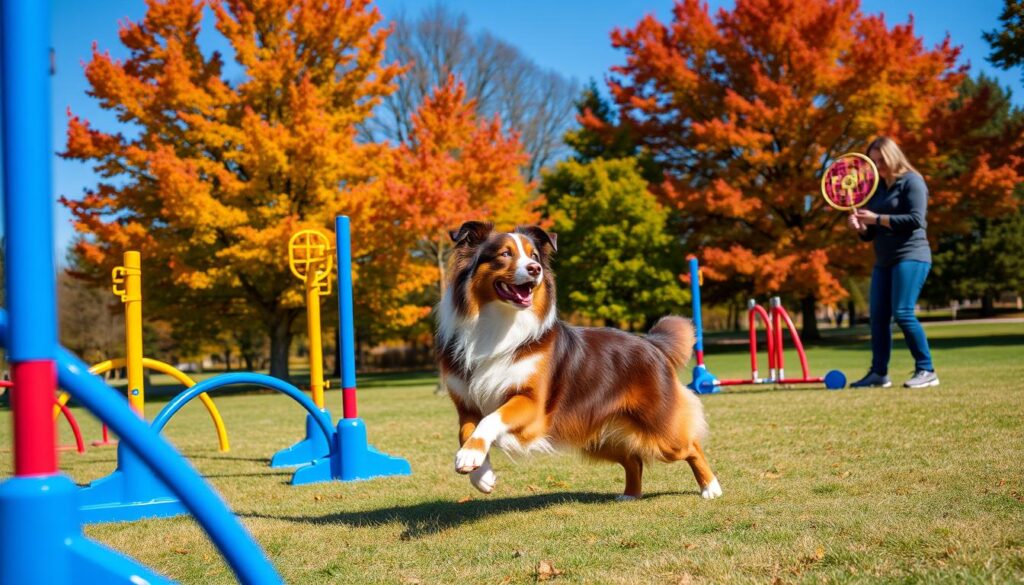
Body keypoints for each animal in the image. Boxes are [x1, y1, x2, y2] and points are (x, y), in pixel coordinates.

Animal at [436, 222, 724, 502]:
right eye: (505, 254)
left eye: (534, 256)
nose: (535, 269)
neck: (499, 324)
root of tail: (651, 343)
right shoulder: (466, 404)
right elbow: (466, 432)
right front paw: (480, 473)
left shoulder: (532, 403)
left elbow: (491, 419)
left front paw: (471, 457)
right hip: (595, 436)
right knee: (633, 459)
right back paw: (630, 494)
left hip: (661, 431)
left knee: (691, 446)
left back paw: (710, 488)